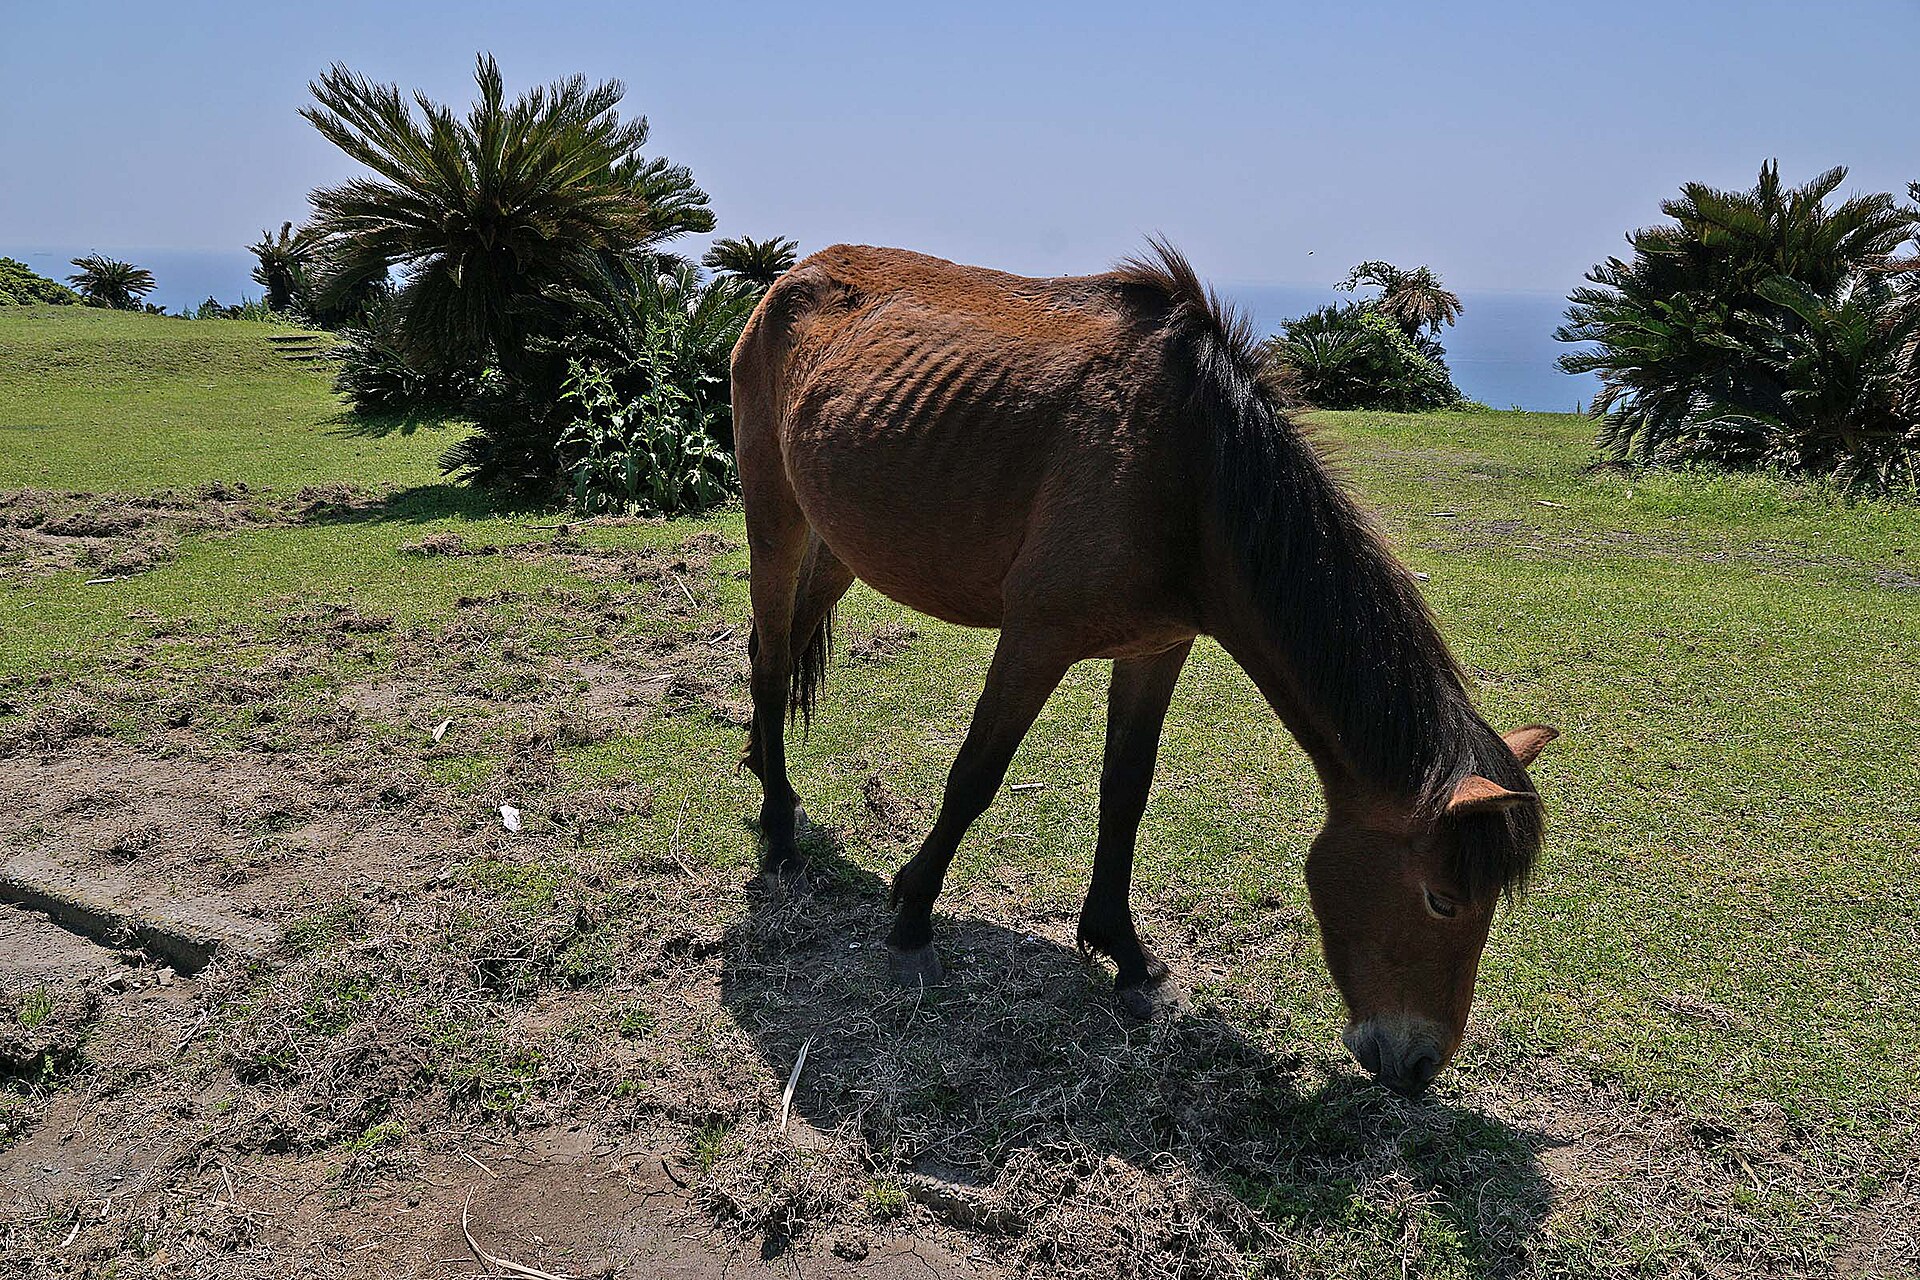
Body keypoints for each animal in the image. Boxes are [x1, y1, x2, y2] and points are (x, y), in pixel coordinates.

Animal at [728, 240, 1558, 1097]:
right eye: (1441, 900)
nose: (1419, 1065)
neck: (1188, 475)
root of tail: (794, 277)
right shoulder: (1036, 637)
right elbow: (975, 778)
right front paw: (912, 921)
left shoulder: (1157, 648)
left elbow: (1125, 792)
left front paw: (1122, 952)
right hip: (775, 512)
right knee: (770, 661)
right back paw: (780, 829)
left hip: (840, 541)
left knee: (780, 647)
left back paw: (764, 770)